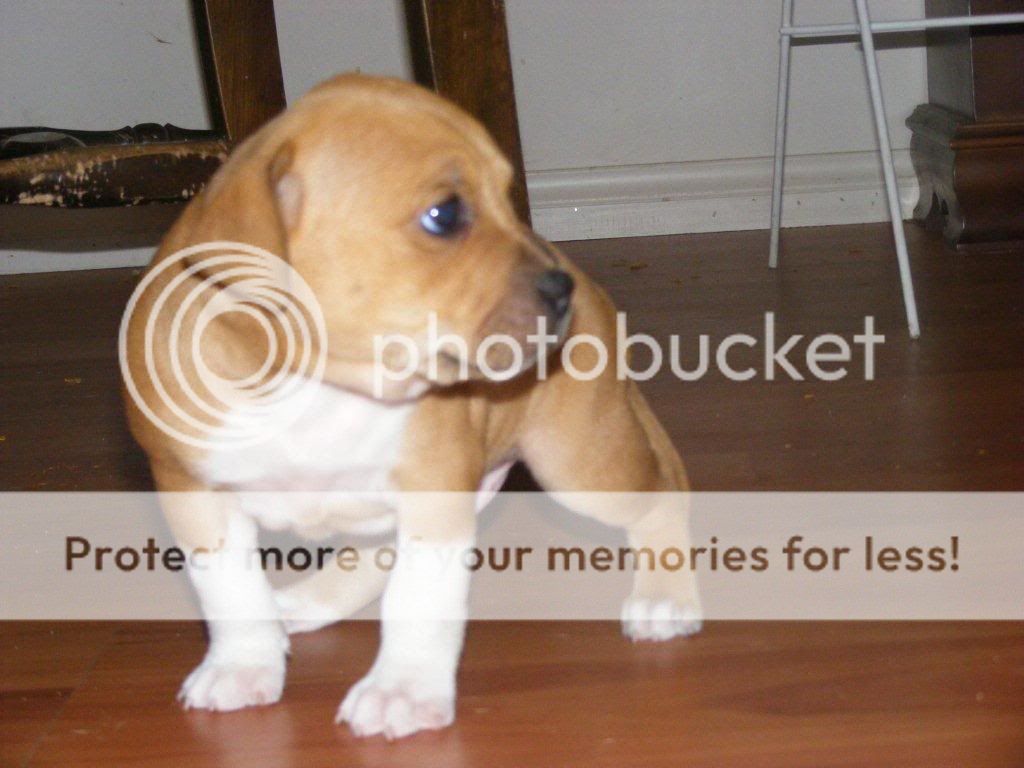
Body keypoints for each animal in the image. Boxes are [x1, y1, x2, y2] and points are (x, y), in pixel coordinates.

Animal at [117, 75, 696, 741]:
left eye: (508, 197)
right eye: (445, 215)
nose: (560, 290)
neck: (311, 382)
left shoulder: (433, 489)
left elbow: (419, 600)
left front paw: (404, 689)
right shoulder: (192, 491)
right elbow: (231, 592)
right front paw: (243, 664)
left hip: (580, 465)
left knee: (663, 496)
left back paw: (667, 596)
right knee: (371, 555)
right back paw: (306, 603)